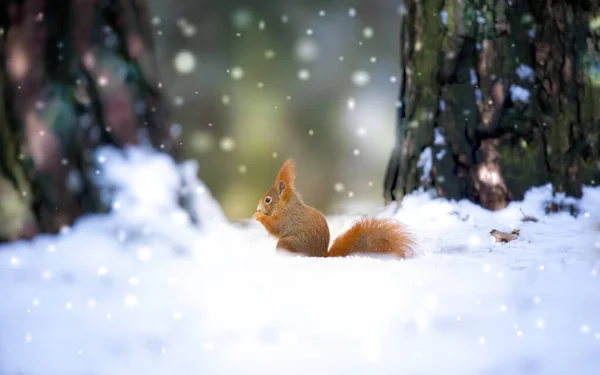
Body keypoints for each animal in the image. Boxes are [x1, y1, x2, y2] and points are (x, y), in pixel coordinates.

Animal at [251, 159, 414, 258]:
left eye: (268, 199)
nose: (258, 207)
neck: (285, 204)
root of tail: (320, 256)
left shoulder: (286, 216)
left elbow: (275, 227)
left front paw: (259, 216)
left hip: (287, 243)